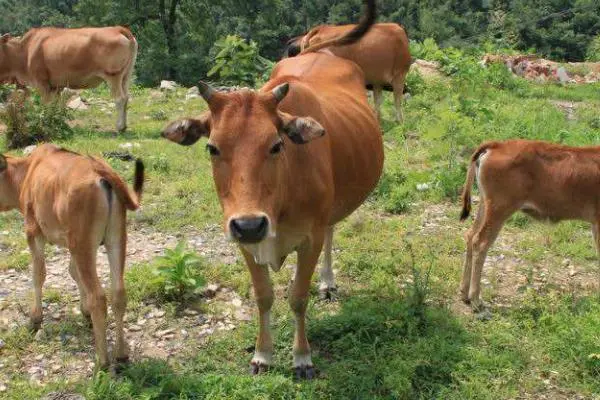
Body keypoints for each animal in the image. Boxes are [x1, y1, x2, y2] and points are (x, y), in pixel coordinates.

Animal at [0, 26, 137, 133]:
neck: (24, 51)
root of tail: (118, 28)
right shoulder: (56, 86)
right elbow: (54, 105)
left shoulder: (42, 83)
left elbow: (46, 105)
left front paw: (45, 123)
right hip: (126, 76)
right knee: (126, 97)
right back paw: (124, 126)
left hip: (113, 75)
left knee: (120, 98)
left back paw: (120, 127)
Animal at [0, 143, 144, 366]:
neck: (26, 172)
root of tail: (102, 175)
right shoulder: (70, 242)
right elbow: (73, 272)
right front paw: (84, 312)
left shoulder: (34, 231)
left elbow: (38, 274)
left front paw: (35, 318)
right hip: (116, 238)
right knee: (118, 293)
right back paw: (121, 354)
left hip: (83, 243)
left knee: (99, 297)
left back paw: (102, 361)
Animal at [162, 0, 382, 378]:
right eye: (212, 148)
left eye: (277, 145)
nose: (250, 224)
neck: (279, 201)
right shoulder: (243, 241)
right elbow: (264, 296)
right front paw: (263, 354)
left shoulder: (309, 238)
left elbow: (297, 297)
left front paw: (302, 357)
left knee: (331, 231)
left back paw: (327, 281)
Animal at [462, 139, 600, 310]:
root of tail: (499, 144)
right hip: (499, 209)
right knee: (480, 243)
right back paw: (475, 299)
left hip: (485, 205)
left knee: (470, 235)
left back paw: (464, 293)